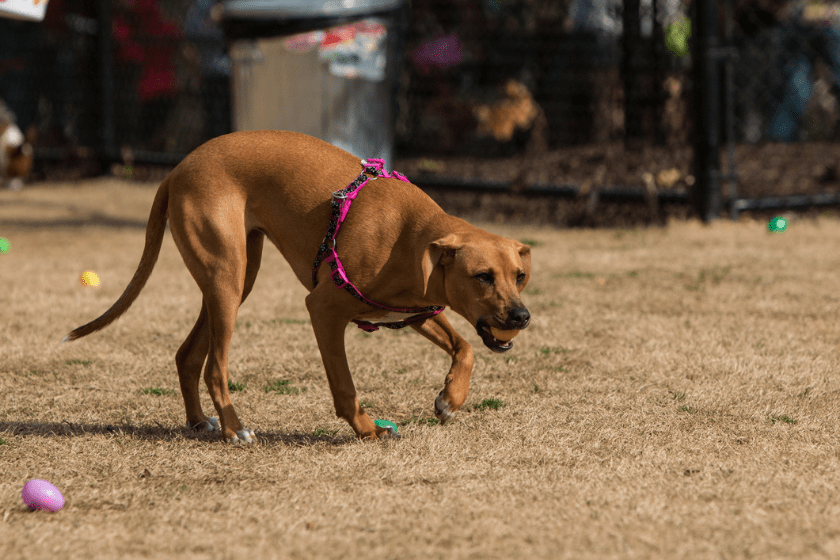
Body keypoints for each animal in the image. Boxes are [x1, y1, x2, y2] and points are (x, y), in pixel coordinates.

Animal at [65, 130, 532, 442]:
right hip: (227, 279)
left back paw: (200, 422)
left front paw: (450, 399)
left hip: (235, 280)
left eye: (520, 276)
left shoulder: (415, 310)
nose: (521, 317)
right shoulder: (323, 310)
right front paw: (367, 428)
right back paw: (235, 430)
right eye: (482, 276)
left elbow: (465, 348)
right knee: (215, 366)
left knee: (187, 355)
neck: (411, 237)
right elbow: (344, 385)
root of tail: (177, 169)